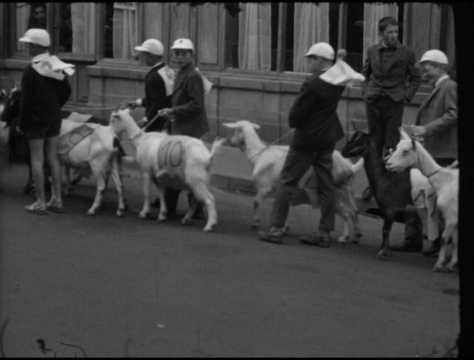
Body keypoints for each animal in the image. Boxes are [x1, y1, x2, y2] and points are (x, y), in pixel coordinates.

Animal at [224, 120, 364, 242]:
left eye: (235, 130)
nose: (229, 141)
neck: (259, 154)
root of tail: (349, 166)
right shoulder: (282, 190)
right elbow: (284, 205)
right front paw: (283, 228)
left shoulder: (265, 187)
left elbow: (256, 202)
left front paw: (256, 223)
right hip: (346, 189)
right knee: (353, 210)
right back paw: (356, 235)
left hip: (337, 192)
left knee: (346, 213)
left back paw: (344, 237)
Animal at [386, 128, 460, 272]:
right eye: (396, 148)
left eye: (405, 151)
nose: (388, 164)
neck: (445, 180)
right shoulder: (455, 218)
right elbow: (455, 240)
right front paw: (451, 264)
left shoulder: (451, 216)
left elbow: (444, 239)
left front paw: (439, 264)